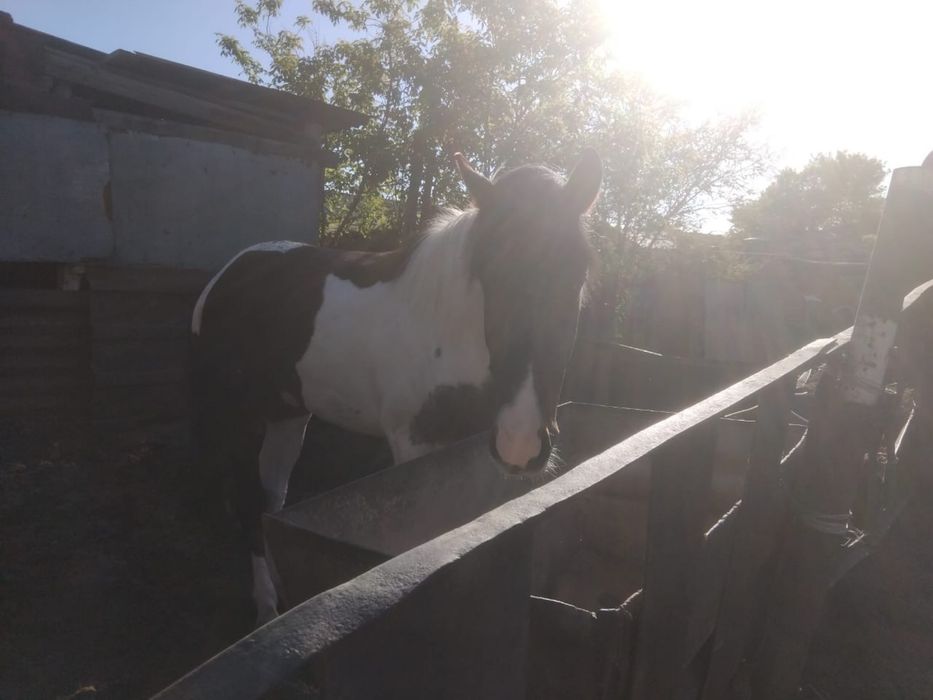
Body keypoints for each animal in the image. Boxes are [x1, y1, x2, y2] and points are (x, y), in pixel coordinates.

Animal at [190, 150, 602, 624]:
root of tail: (229, 273)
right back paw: (265, 606)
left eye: (577, 269)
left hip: (287, 414)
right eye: (489, 270)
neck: (446, 331)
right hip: (236, 413)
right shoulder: (414, 446)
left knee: (271, 494)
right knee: (247, 498)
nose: (521, 442)